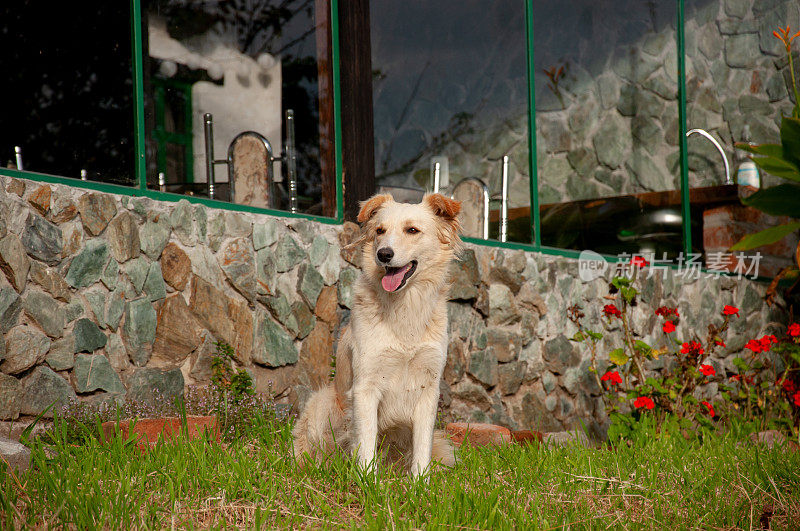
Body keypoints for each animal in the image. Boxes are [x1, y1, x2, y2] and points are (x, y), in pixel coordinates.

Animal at [294, 193, 460, 476]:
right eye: (380, 231)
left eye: (412, 230)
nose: (384, 254)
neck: (405, 308)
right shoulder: (365, 386)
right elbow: (366, 441)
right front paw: (367, 480)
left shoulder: (428, 387)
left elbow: (422, 447)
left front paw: (420, 483)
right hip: (323, 402)